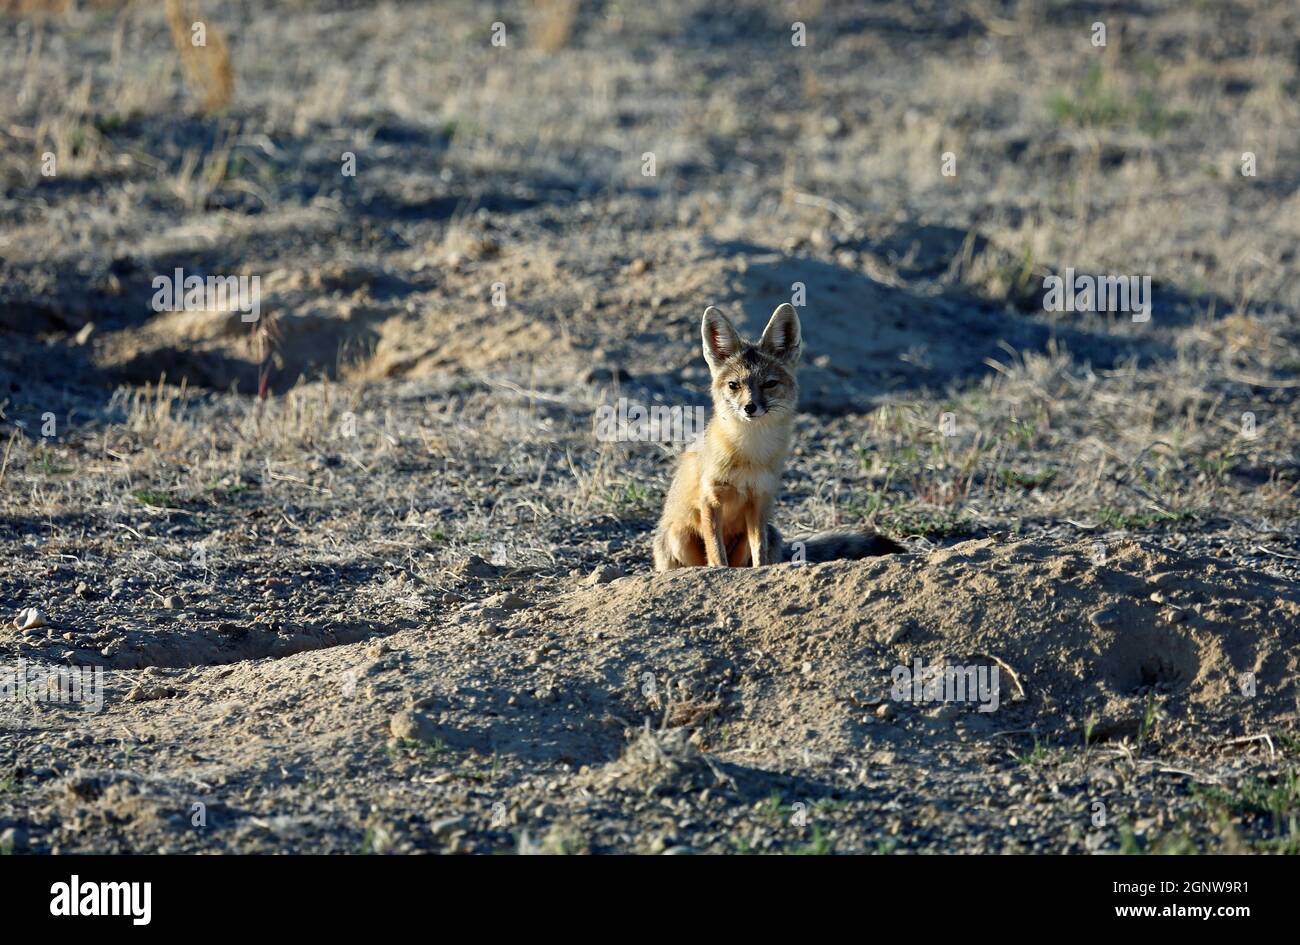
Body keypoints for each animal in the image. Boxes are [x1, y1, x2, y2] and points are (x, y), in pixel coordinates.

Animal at [650, 305, 904, 569]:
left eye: (769, 384)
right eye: (734, 385)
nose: (749, 407)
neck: (749, 453)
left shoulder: (759, 502)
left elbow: (759, 555)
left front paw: (758, 571)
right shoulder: (710, 499)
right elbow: (717, 554)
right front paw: (720, 570)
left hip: (765, 532)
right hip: (679, 535)